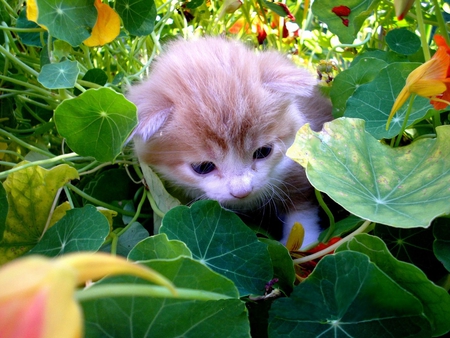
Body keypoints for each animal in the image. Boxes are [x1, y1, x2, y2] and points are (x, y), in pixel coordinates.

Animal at [128, 37, 332, 247]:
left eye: (263, 152)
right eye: (203, 167)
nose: (242, 191)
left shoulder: (299, 161)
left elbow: (302, 210)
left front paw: (305, 243)